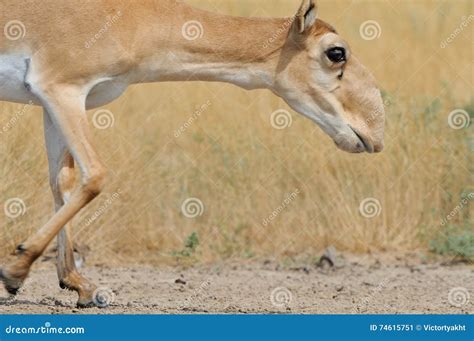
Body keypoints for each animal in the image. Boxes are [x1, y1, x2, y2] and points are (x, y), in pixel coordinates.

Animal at [0, 0, 386, 306]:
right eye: (336, 52)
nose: (375, 134)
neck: (128, 16)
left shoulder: (56, 102)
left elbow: (63, 182)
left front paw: (77, 284)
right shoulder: (61, 90)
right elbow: (95, 175)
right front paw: (14, 268)